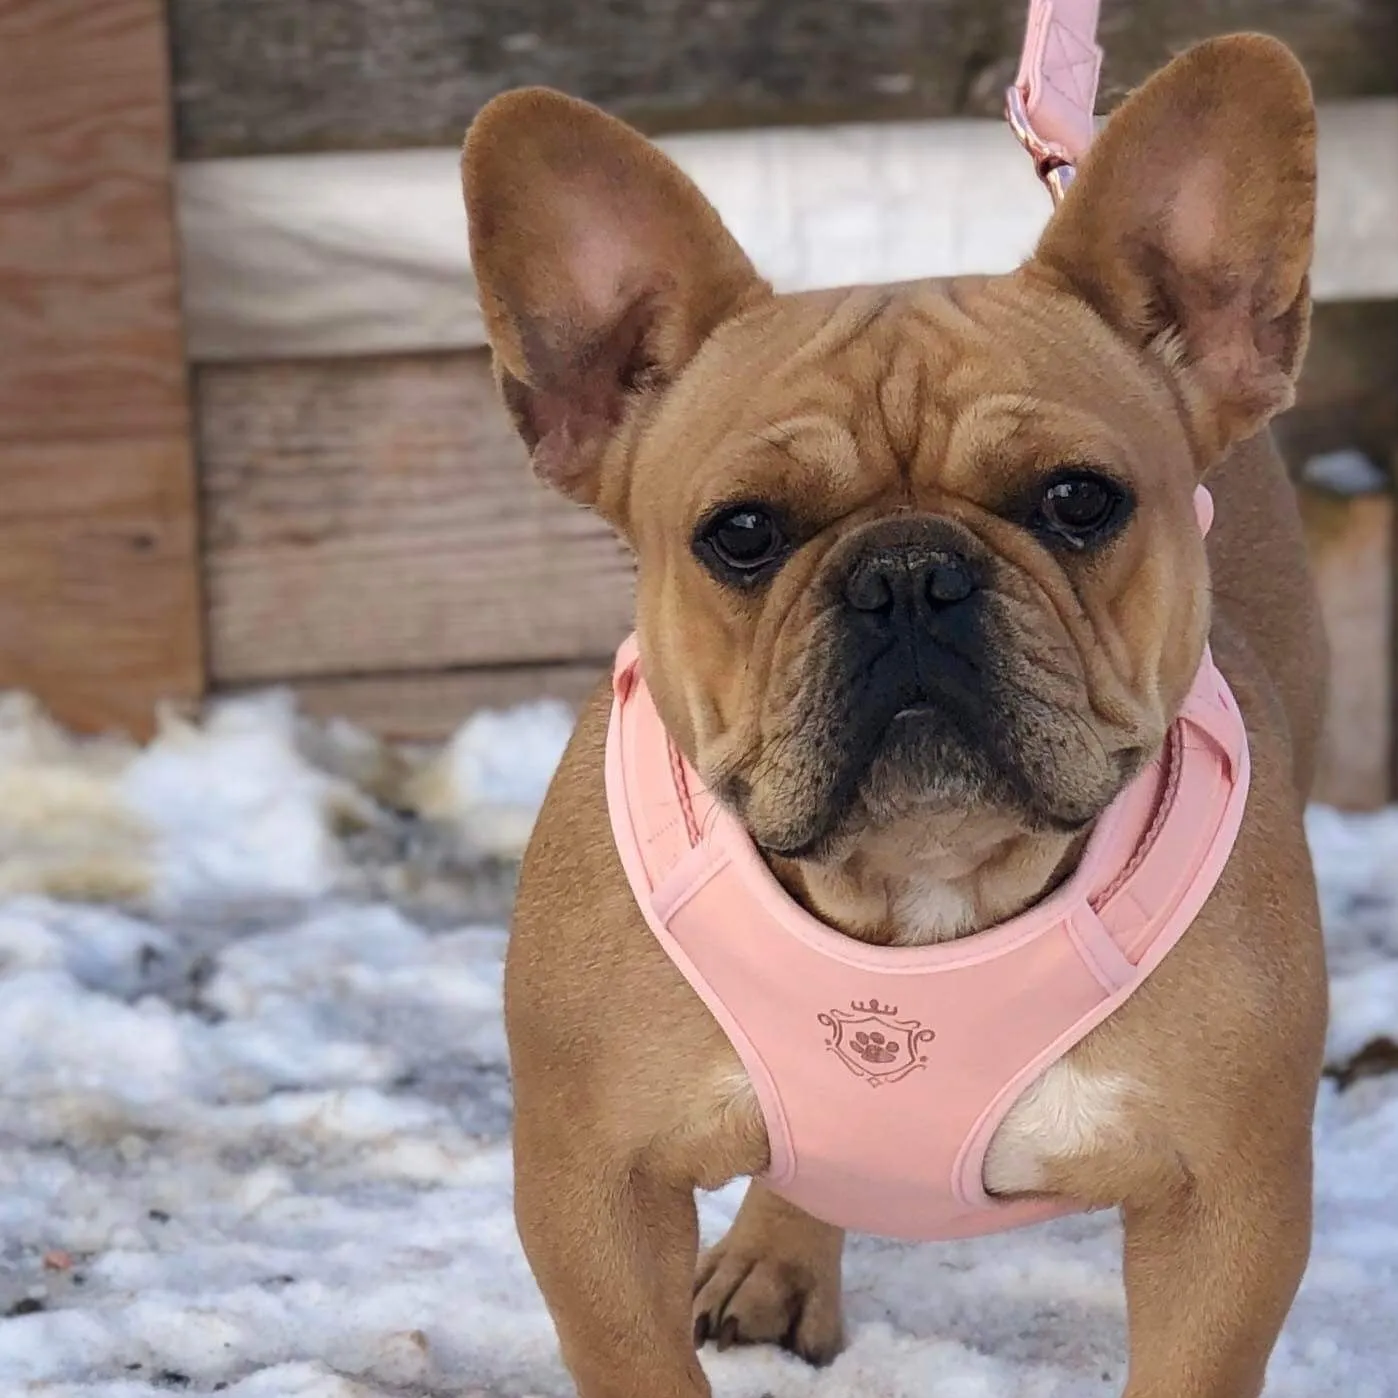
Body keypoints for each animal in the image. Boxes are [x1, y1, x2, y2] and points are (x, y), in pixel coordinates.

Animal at [464, 32, 1325, 1398]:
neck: (921, 888)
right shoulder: (591, 1188)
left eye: (1079, 499)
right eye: (742, 533)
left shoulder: (1224, 1211)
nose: (908, 575)